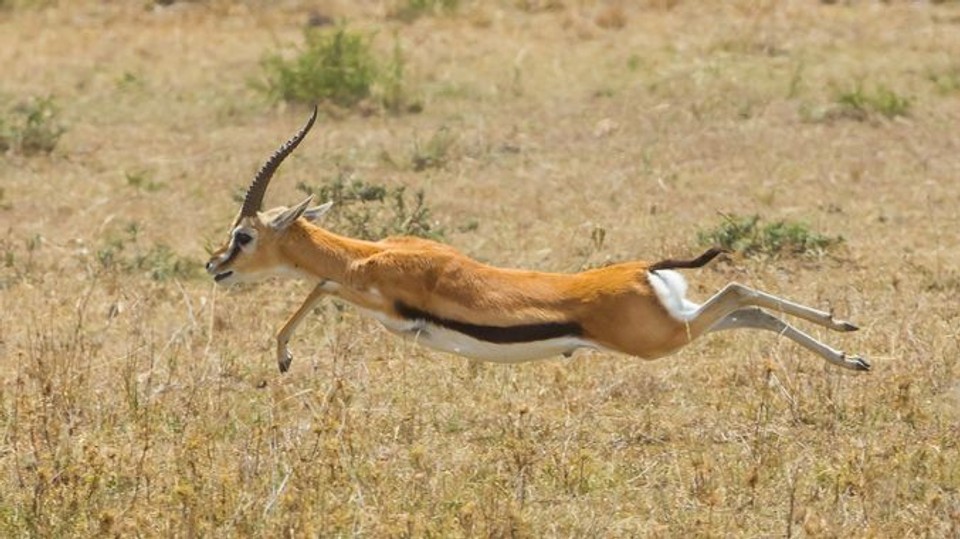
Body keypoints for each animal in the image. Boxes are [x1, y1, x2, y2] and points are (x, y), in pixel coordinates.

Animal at [205, 108, 871, 374]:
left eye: (243, 235)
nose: (214, 265)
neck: (375, 253)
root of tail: (641, 268)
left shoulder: (379, 303)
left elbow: (319, 285)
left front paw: (284, 358)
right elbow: (319, 286)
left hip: (661, 338)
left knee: (736, 292)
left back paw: (849, 344)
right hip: (676, 323)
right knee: (746, 307)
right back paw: (851, 349)